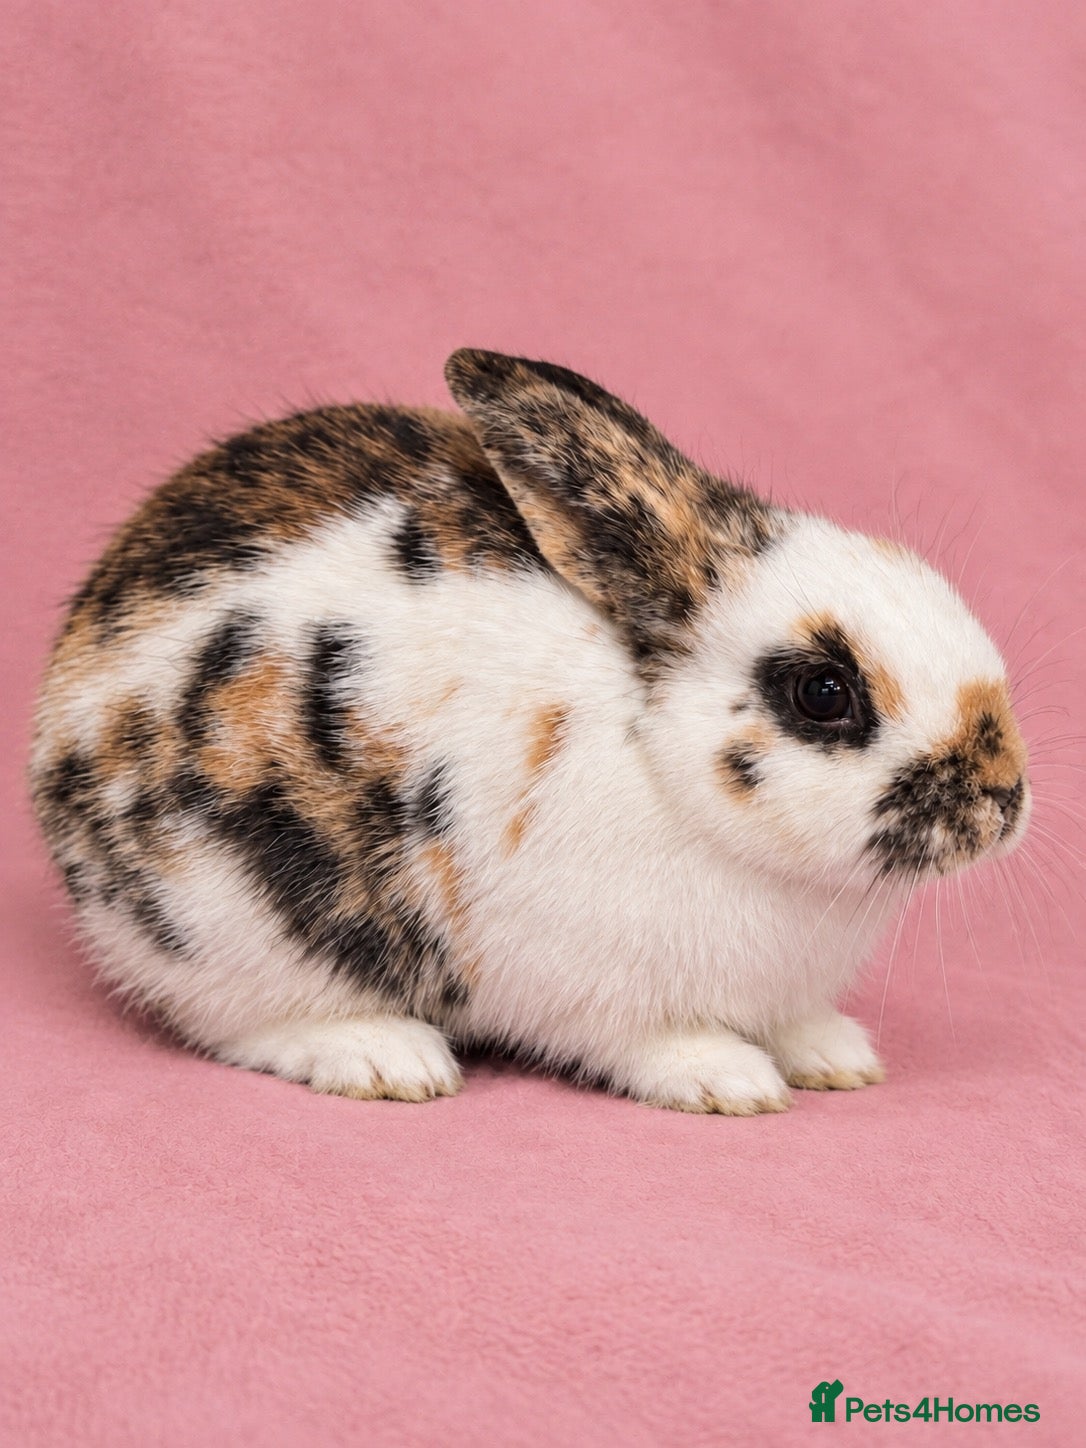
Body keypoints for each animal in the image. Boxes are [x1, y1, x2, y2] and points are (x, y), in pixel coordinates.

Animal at [29, 350, 1030, 1113]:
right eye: (824, 692)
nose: (1005, 797)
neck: (654, 756)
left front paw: (836, 1058)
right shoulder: (606, 990)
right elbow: (654, 1042)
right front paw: (732, 1082)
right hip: (226, 921)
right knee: (238, 1022)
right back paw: (389, 1059)